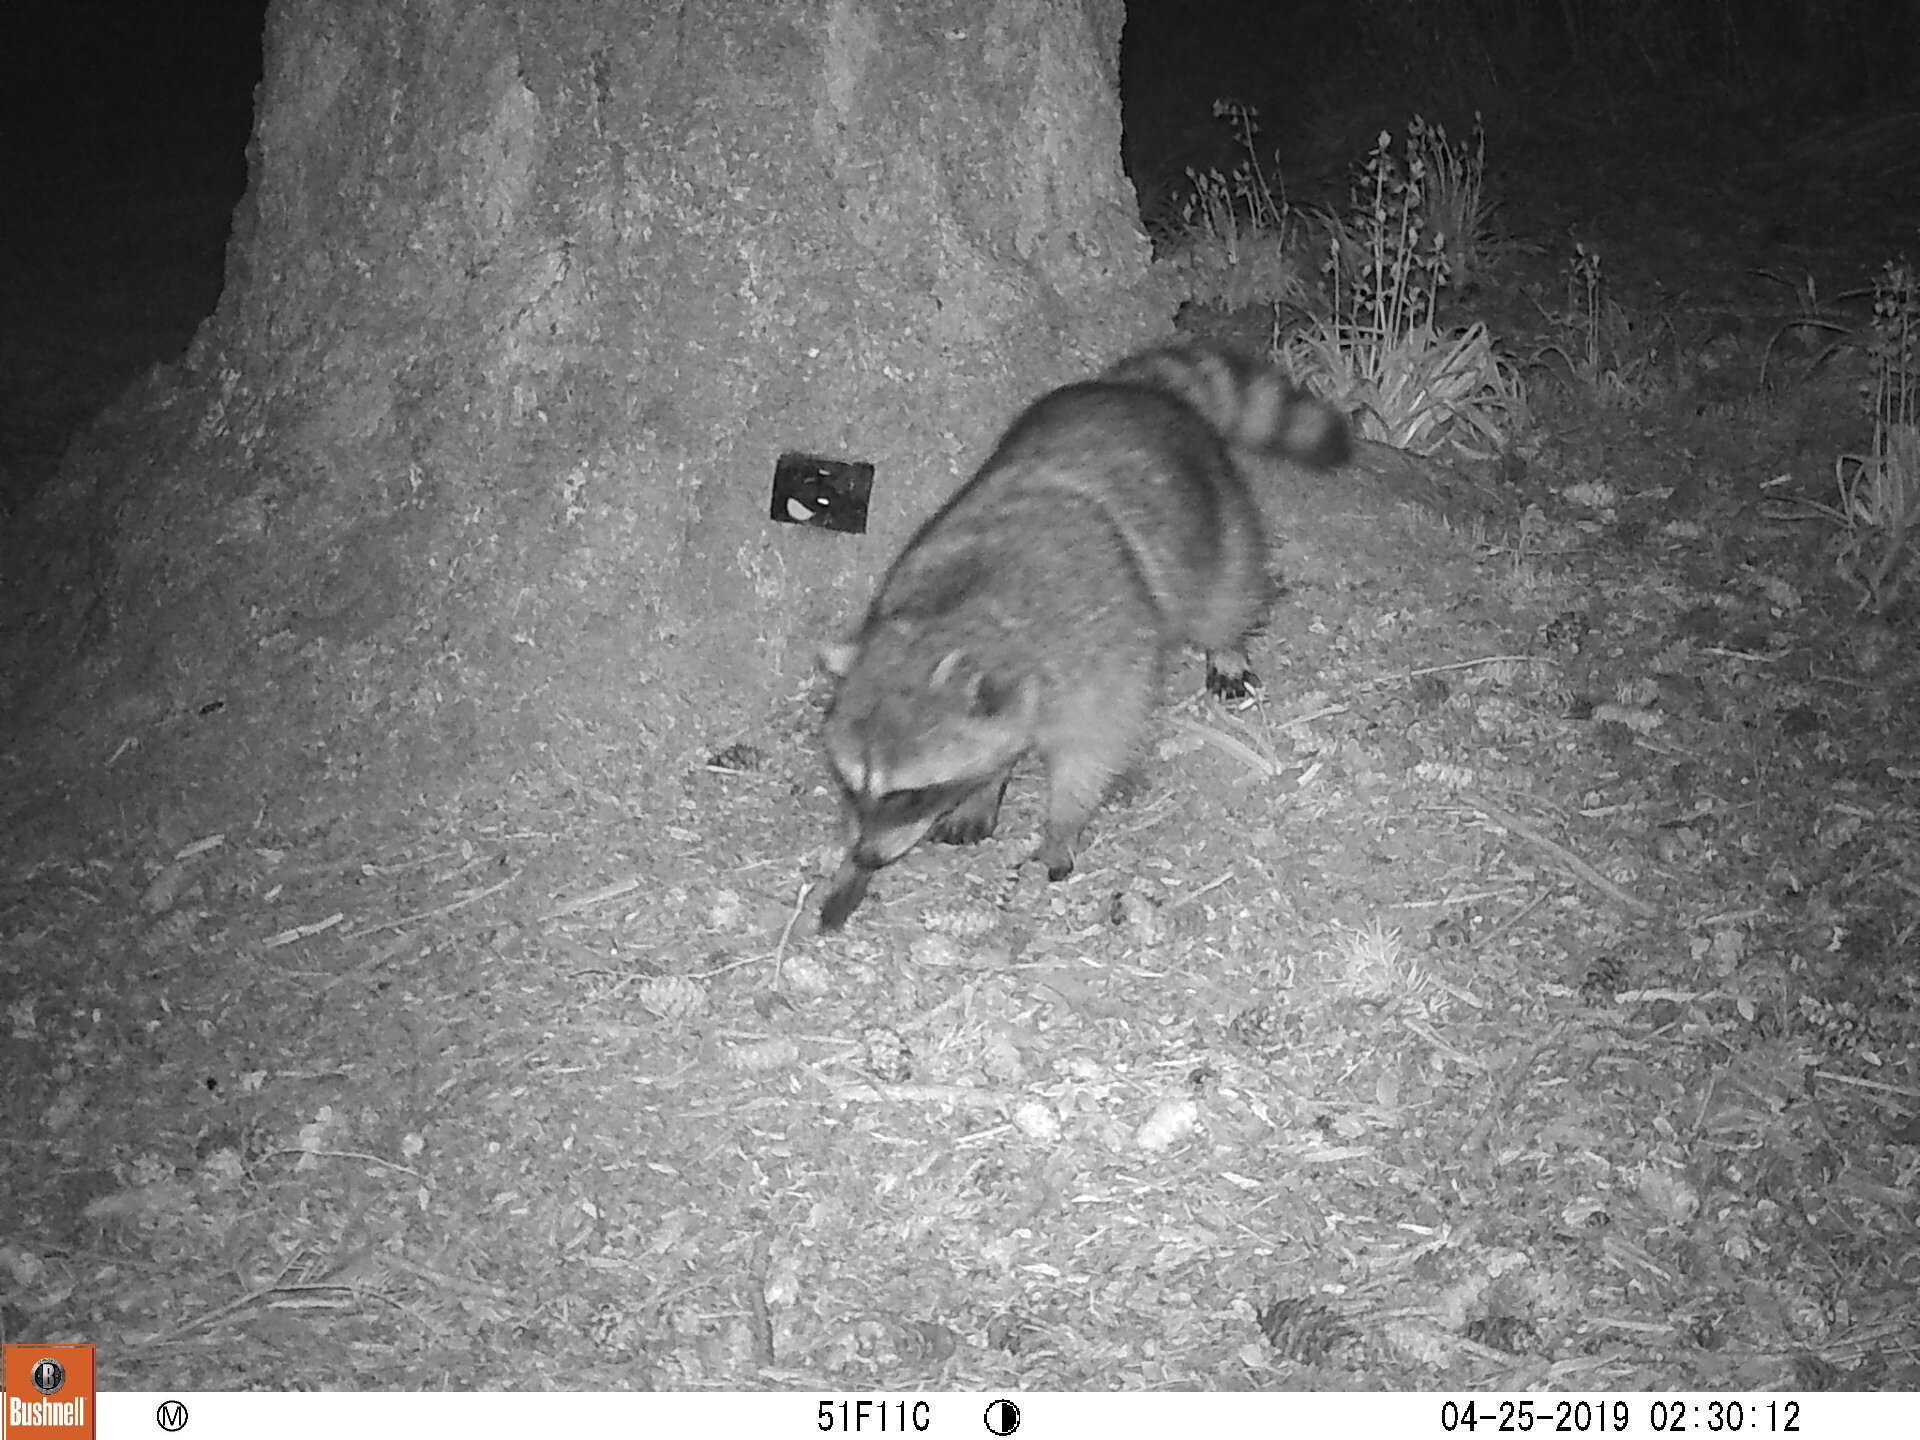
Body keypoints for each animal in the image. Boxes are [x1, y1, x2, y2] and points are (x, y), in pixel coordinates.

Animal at [816, 343, 1349, 931]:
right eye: (851, 785)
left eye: (908, 795)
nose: (866, 857)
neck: (952, 614)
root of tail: (1134, 390)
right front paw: (986, 786)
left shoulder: (1104, 658)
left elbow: (1096, 748)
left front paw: (1061, 822)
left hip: (1215, 509)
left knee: (1226, 587)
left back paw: (1227, 640)